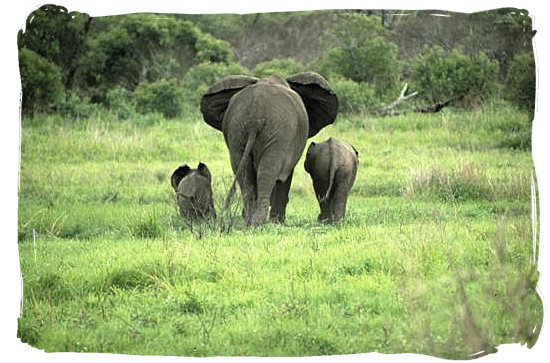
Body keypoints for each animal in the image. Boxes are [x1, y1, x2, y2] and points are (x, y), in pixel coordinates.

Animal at [201, 71, 338, 226]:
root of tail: (255, 115)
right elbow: (284, 176)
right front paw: (278, 222)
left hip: (237, 129)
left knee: (244, 172)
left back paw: (249, 221)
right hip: (279, 131)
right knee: (267, 171)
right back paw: (258, 221)